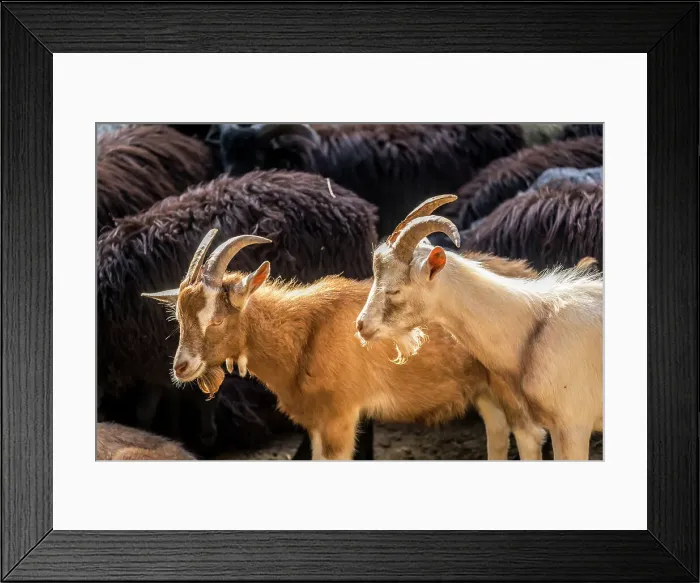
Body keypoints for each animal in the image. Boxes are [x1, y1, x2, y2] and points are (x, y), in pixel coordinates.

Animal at [143, 229, 543, 461]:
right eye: (179, 318)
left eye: (216, 318)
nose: (182, 367)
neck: (306, 330)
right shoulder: (318, 422)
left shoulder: (340, 417)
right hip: (484, 390)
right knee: (498, 433)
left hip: (509, 388)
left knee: (529, 437)